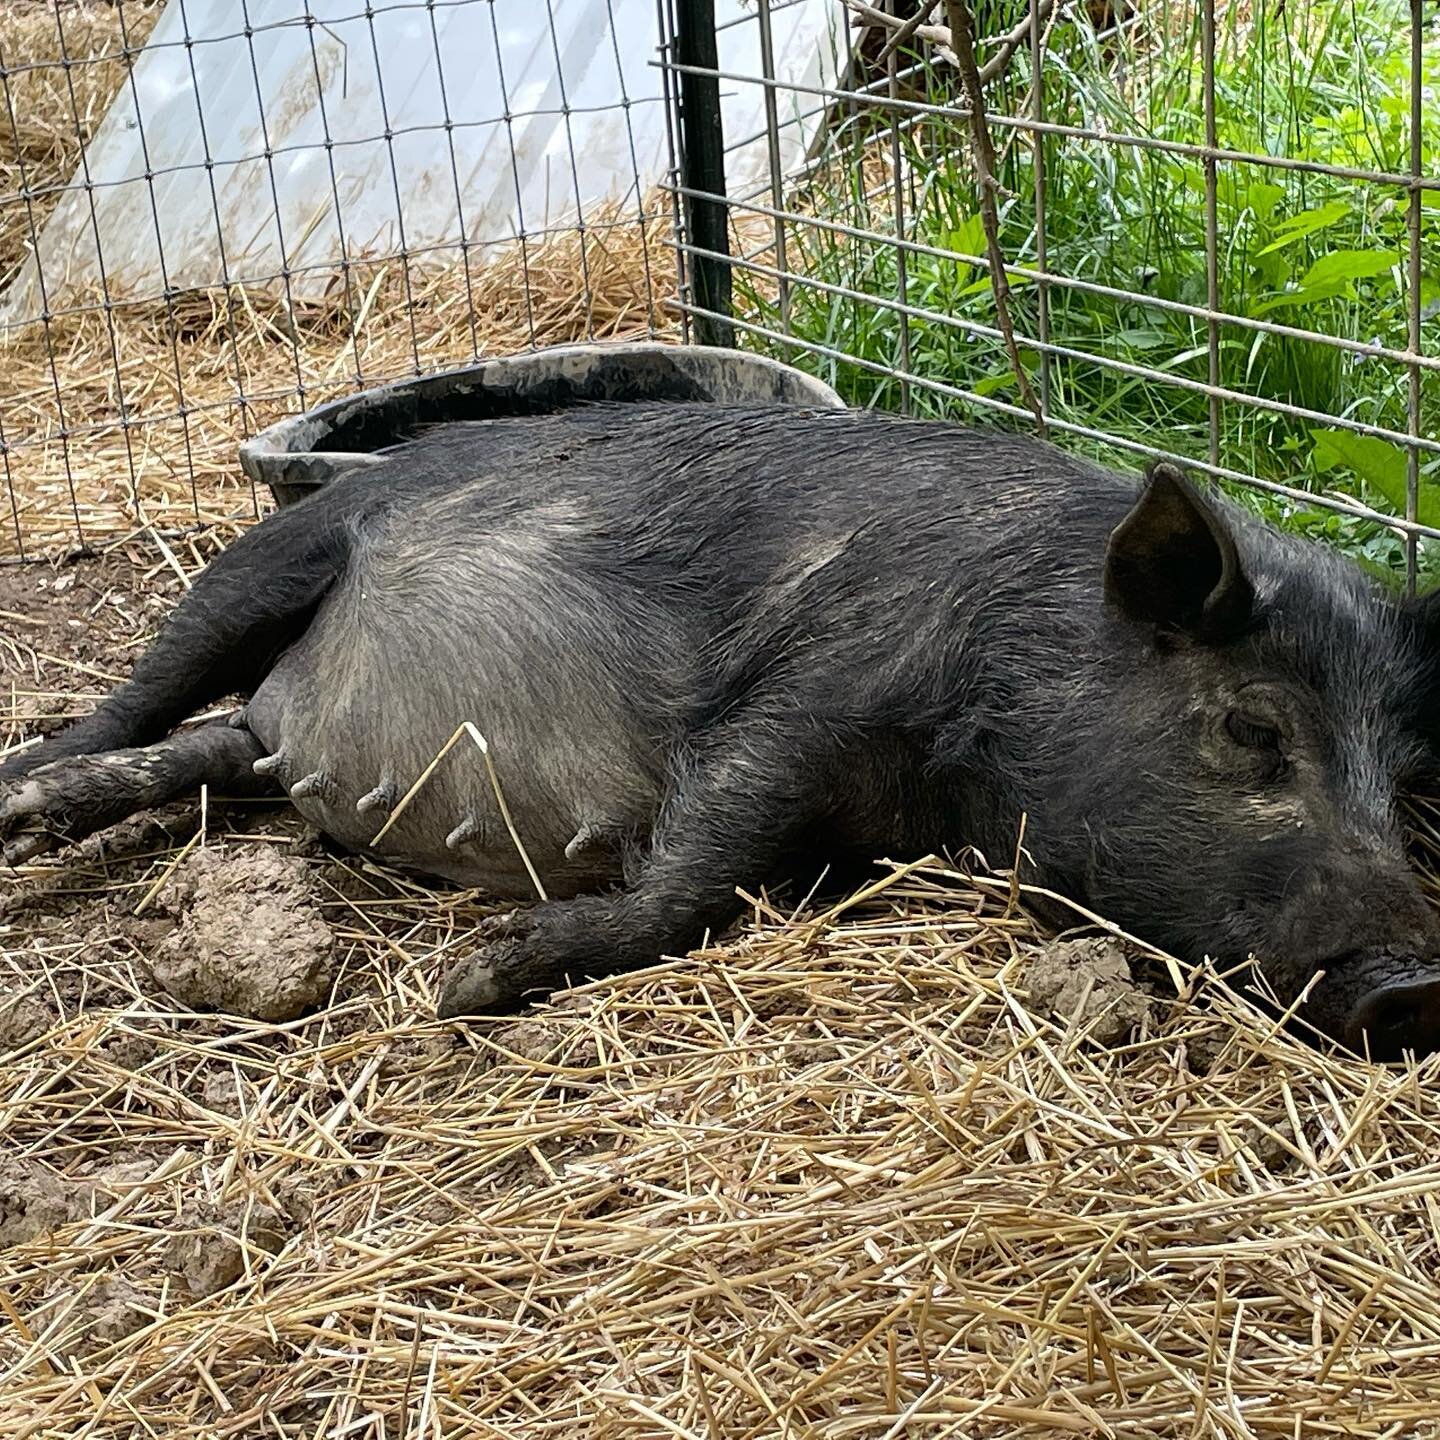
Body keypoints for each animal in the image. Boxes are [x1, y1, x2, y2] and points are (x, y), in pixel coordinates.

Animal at [2, 406, 1440, 1059]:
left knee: (206, 752)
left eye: (1409, 782)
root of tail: (289, 725)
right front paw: (478, 981)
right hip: (273, 557)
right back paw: (20, 785)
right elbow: (698, 863)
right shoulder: (811, 684)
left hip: (269, 740)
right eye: (1252, 729)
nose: (1415, 981)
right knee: (138, 702)